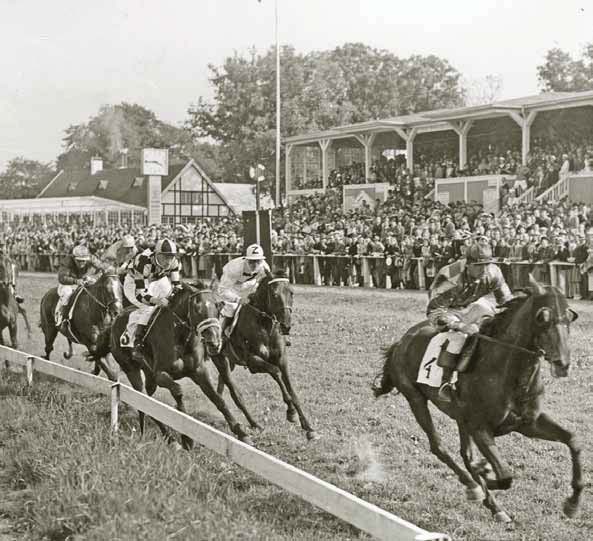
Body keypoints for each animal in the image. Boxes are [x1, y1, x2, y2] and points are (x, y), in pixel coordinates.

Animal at [108, 282, 254, 448]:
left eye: (218, 306)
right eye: (197, 309)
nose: (214, 343)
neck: (180, 337)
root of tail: (116, 319)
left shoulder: (199, 371)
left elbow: (218, 399)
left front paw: (241, 433)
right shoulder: (160, 375)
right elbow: (178, 392)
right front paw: (187, 438)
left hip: (148, 374)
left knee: (149, 400)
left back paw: (167, 436)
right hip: (131, 369)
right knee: (143, 398)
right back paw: (170, 438)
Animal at [215, 268, 316, 438]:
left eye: (291, 292)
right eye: (274, 294)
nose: (286, 325)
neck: (264, 326)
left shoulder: (282, 359)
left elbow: (292, 391)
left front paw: (307, 426)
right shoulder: (253, 362)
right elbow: (275, 372)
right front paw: (290, 412)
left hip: (230, 362)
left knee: (221, 387)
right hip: (220, 359)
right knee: (234, 394)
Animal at [372, 276, 580, 520]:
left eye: (570, 317)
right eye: (542, 317)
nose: (562, 363)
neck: (509, 371)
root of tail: (401, 342)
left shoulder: (527, 423)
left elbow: (573, 440)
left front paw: (573, 503)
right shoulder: (480, 427)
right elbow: (505, 476)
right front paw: (484, 474)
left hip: (460, 416)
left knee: (465, 454)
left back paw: (492, 503)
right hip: (416, 399)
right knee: (439, 447)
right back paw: (474, 487)